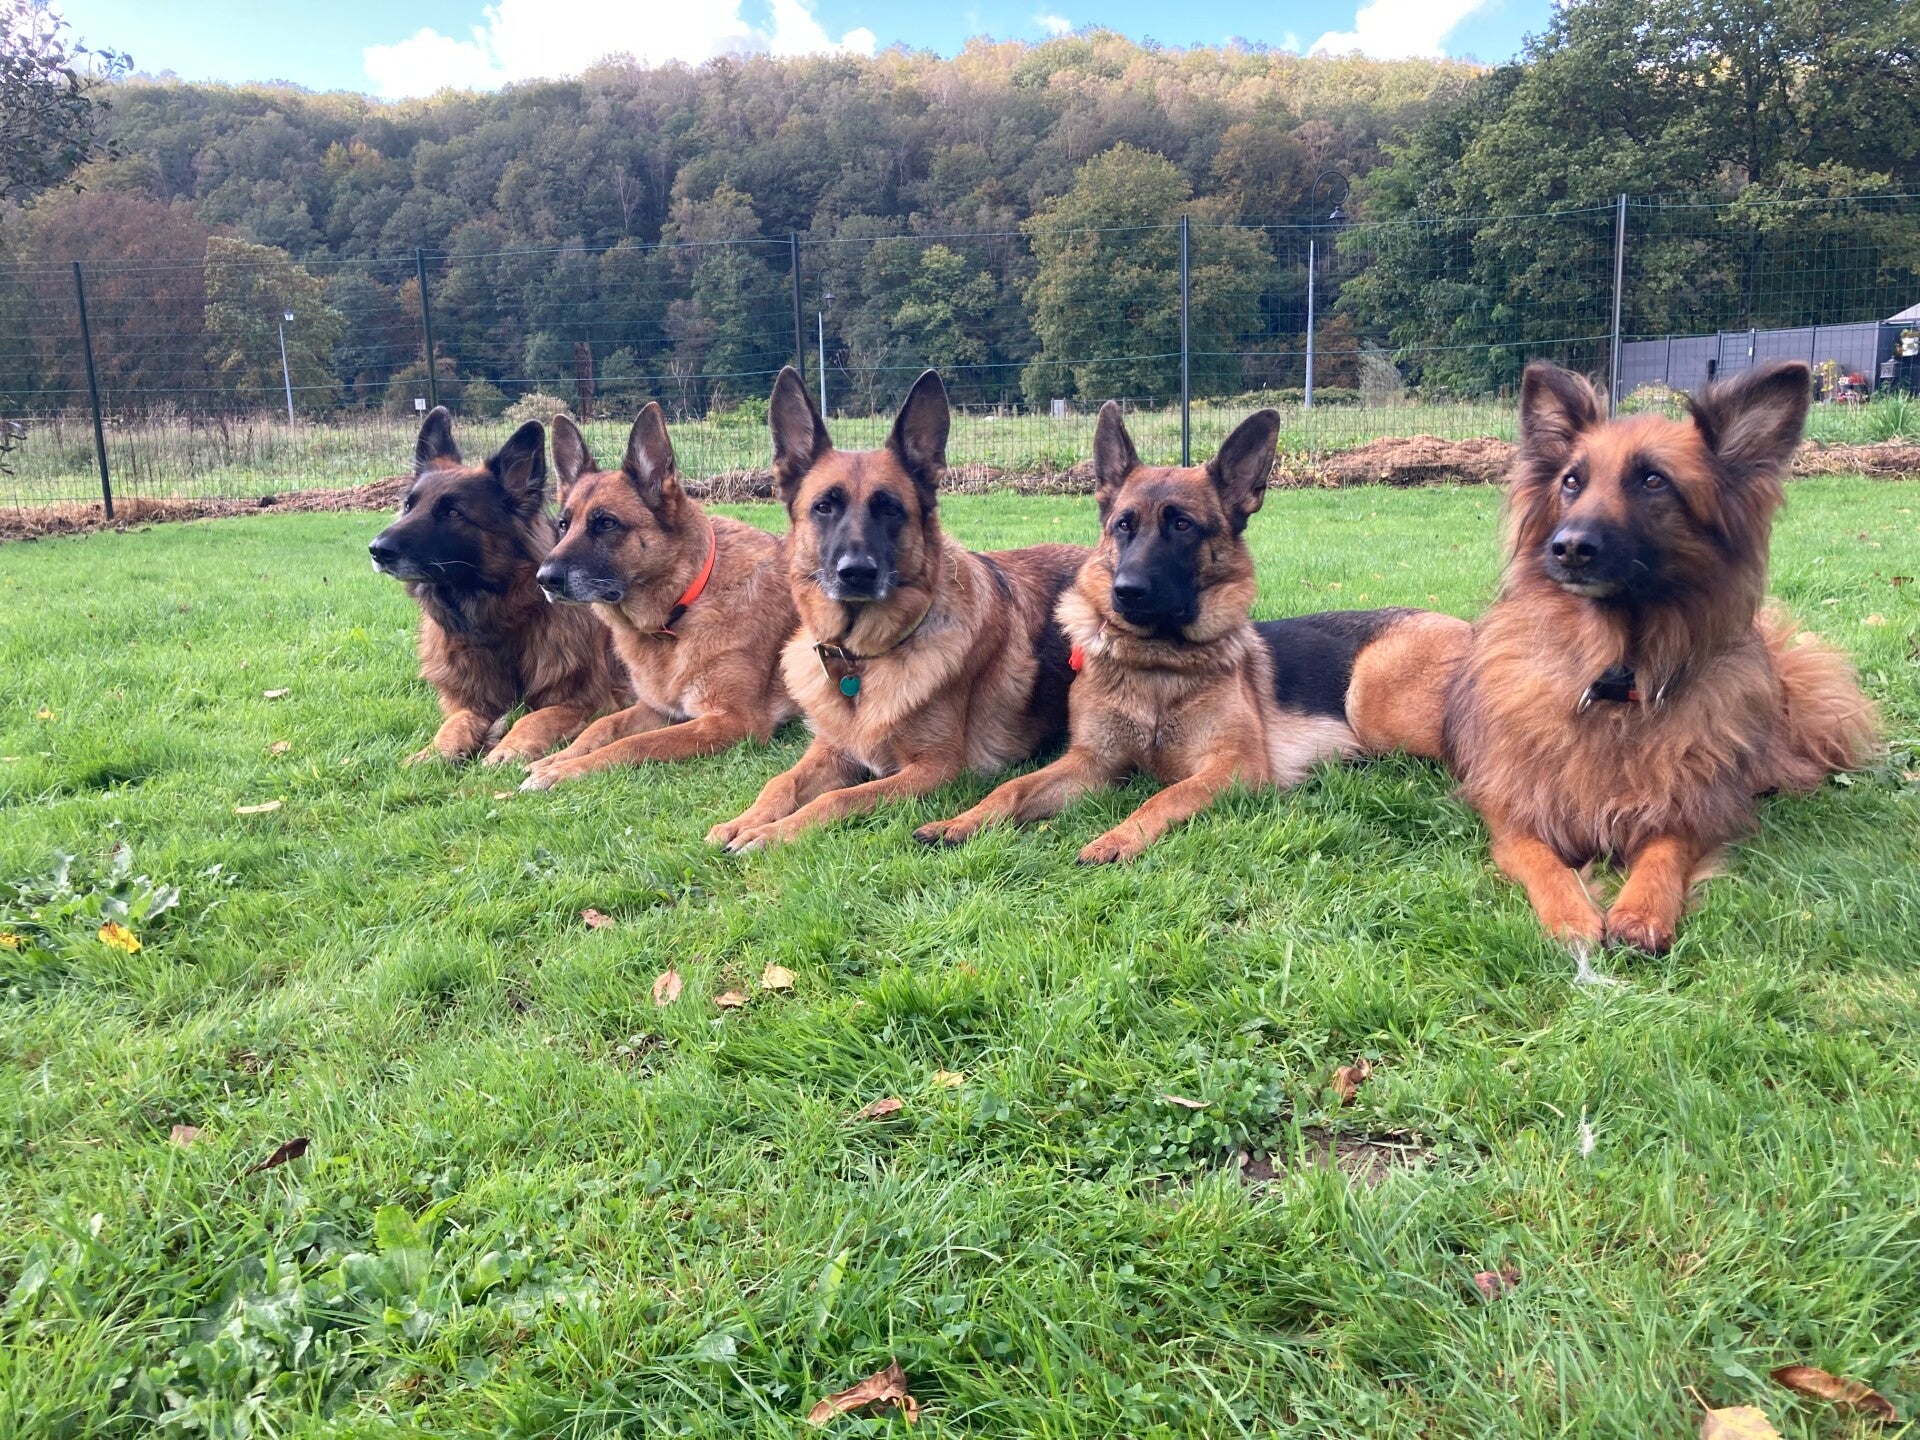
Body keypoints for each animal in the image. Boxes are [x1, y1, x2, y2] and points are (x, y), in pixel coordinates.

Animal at [368, 407, 626, 765]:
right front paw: (430, 753)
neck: (495, 627)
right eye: (408, 506)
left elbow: (536, 716)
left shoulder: (594, 701)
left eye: (453, 512)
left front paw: (509, 746)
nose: (377, 550)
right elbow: (455, 722)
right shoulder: (467, 702)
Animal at [517, 405, 798, 790]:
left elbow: (635, 744)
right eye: (563, 525)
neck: (681, 608)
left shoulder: (733, 721)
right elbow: (602, 725)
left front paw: (564, 769)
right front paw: (558, 757)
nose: (543, 579)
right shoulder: (659, 709)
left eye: (606, 523)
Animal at [706, 367, 1088, 852]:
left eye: (890, 509)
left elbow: (838, 799)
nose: (856, 573)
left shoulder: (933, 770)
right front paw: (745, 820)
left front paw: (774, 832)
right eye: (823, 507)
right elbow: (781, 782)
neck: (863, 662)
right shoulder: (832, 749)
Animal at [914, 401, 1470, 862]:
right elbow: (1010, 788)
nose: (1126, 591)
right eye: (1123, 525)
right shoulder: (1090, 763)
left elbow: (1167, 793)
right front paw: (959, 821)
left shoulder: (1233, 767)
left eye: (1182, 525)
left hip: (1375, 703)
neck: (1158, 665)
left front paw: (1117, 838)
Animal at [1441, 360, 1879, 955]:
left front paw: (1642, 908)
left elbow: (1665, 850)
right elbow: (1541, 860)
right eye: (1571, 482)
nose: (1568, 547)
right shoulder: (1514, 813)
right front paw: (1570, 914)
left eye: (1654, 481)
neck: (1615, 681)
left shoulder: (1688, 811)